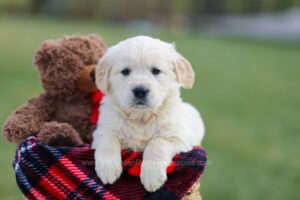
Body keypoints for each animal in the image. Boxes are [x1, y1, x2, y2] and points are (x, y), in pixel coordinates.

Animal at [91, 36, 204, 192]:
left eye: (156, 71)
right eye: (125, 71)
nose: (140, 91)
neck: (141, 118)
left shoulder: (180, 138)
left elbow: (157, 142)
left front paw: (152, 176)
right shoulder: (101, 131)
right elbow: (108, 139)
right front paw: (108, 169)